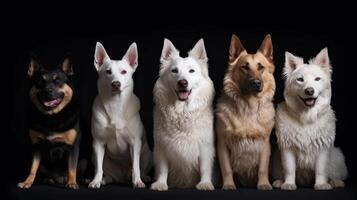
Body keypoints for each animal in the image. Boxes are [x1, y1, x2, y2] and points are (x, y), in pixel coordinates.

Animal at [17, 55, 80, 189]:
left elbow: (72, 168)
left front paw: (72, 183)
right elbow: (32, 168)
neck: (52, 116)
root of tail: (59, 178)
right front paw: (27, 182)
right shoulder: (36, 147)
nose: (48, 90)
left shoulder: (72, 147)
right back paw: (49, 180)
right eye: (40, 82)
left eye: (58, 81)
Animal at [88, 41, 152, 188]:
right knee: (106, 171)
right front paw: (96, 181)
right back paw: (105, 179)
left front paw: (138, 181)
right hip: (95, 156)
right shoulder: (98, 143)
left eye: (124, 72)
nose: (116, 84)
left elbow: (135, 166)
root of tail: (122, 178)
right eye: (108, 72)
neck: (115, 104)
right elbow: (98, 168)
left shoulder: (135, 143)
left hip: (147, 153)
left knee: (140, 167)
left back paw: (144, 177)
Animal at [149, 38, 214, 191]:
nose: (183, 83)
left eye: (191, 71)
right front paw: (160, 184)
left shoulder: (205, 147)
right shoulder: (161, 147)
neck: (182, 112)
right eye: (174, 71)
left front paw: (205, 183)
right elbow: (163, 169)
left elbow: (205, 168)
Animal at [214, 34, 276, 189]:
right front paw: (228, 185)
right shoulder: (222, 144)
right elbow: (227, 169)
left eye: (261, 67)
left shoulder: (265, 144)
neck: (249, 106)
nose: (255, 83)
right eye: (245, 67)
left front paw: (264, 184)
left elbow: (262, 169)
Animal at [272, 47, 346, 190]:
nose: (309, 91)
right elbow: (289, 169)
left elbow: (321, 170)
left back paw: (335, 182)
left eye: (317, 79)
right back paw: (279, 181)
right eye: (300, 80)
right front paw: (288, 184)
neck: (306, 117)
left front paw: (321, 184)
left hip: (337, 156)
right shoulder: (287, 148)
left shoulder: (322, 148)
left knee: (334, 174)